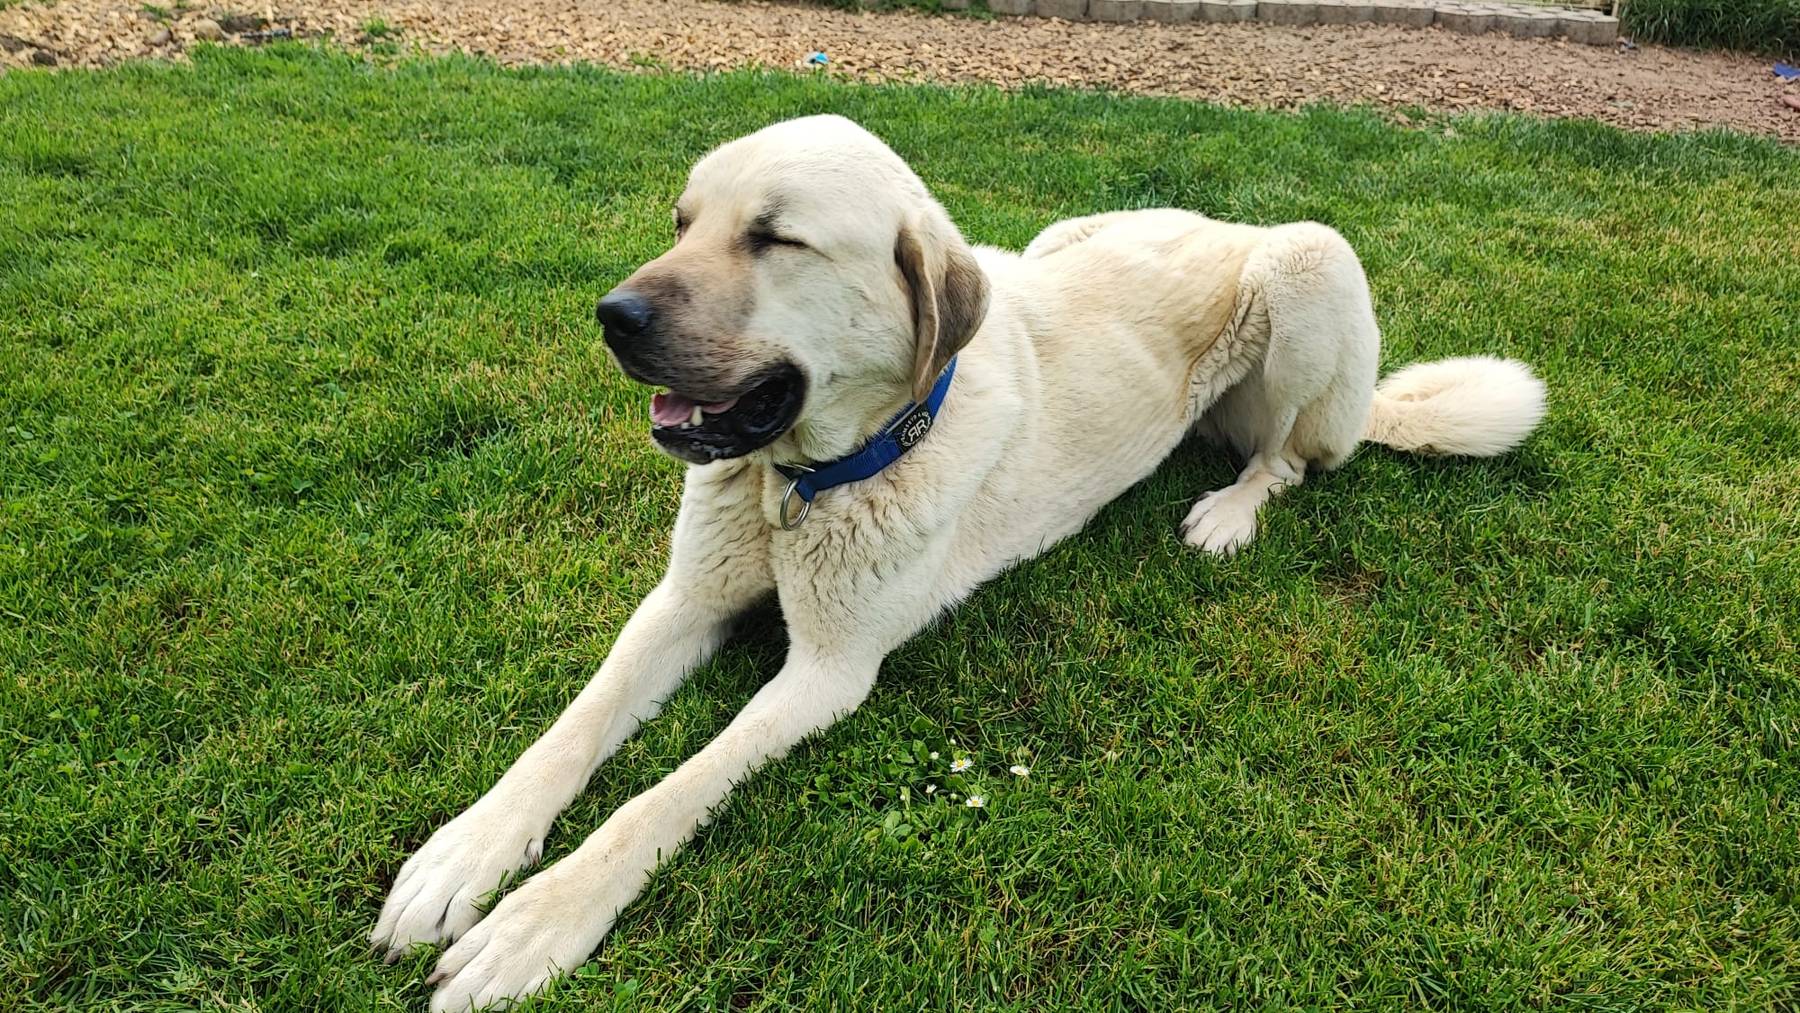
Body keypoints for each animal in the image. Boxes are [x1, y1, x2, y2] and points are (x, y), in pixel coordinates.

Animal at [369, 112, 1548, 1007]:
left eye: (774, 238)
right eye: (683, 224)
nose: (612, 316)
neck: (803, 485)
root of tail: (1231, 220)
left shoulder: (827, 673)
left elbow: (660, 797)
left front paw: (536, 919)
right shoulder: (682, 601)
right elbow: (572, 731)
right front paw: (467, 853)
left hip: (1311, 264)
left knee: (1291, 460)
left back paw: (1232, 510)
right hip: (1068, 236)